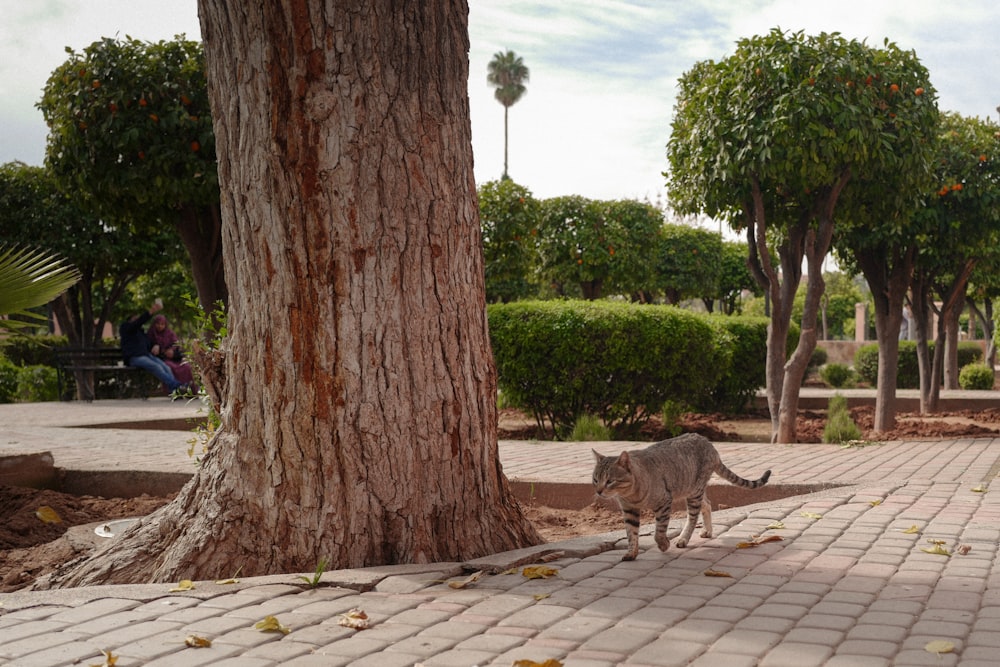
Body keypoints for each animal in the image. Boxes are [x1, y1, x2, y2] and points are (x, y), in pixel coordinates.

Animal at [592, 434, 772, 564]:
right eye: (595, 479)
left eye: (610, 481)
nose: (599, 491)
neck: (632, 495)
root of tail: (709, 443)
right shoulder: (629, 511)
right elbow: (631, 534)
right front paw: (631, 553)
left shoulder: (664, 502)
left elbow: (659, 532)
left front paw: (664, 544)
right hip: (694, 490)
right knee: (707, 504)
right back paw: (707, 530)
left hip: (694, 493)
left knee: (693, 517)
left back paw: (683, 538)